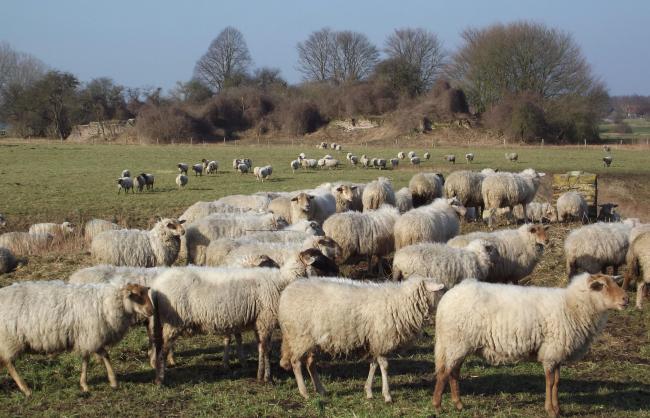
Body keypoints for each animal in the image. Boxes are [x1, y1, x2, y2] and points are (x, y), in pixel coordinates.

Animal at [0, 280, 153, 396]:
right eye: (137, 295)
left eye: (146, 294)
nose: (151, 311)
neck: (107, 302)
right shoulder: (90, 335)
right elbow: (95, 357)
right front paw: (90, 384)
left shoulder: (88, 337)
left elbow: (97, 356)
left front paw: (111, 382)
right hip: (10, 339)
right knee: (8, 362)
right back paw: (25, 389)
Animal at [153, 248, 340, 386]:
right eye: (318, 257)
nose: (337, 269)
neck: (283, 281)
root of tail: (157, 285)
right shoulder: (266, 319)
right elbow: (266, 349)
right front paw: (267, 378)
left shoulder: (259, 321)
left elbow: (261, 348)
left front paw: (259, 375)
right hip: (173, 322)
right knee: (163, 349)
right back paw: (160, 379)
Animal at [276, 274, 442, 402]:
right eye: (439, 292)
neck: (400, 302)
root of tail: (287, 292)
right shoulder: (380, 338)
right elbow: (384, 365)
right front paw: (387, 395)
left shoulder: (373, 341)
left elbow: (373, 364)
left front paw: (368, 391)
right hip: (299, 336)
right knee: (296, 362)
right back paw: (304, 392)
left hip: (312, 339)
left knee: (310, 363)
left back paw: (321, 390)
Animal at [430, 272, 628, 416]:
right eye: (602, 286)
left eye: (615, 283)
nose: (625, 299)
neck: (572, 306)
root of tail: (448, 297)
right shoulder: (551, 352)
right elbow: (550, 382)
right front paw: (550, 410)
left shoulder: (556, 353)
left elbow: (557, 382)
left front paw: (558, 409)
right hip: (456, 341)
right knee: (444, 373)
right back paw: (438, 406)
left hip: (458, 344)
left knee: (454, 372)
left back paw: (458, 404)